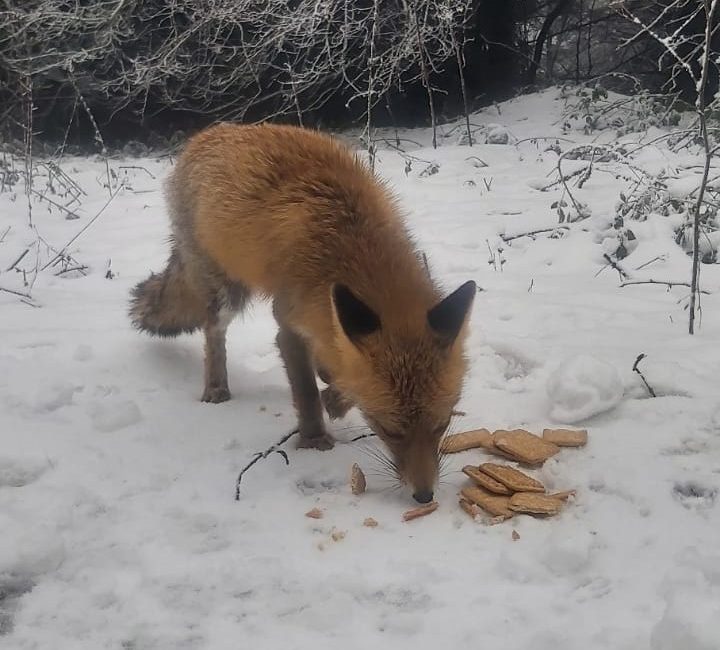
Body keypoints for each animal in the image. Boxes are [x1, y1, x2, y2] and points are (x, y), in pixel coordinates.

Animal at [128, 124, 478, 504]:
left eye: (442, 424)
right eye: (389, 430)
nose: (424, 496)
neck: (347, 244)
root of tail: (208, 132)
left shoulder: (332, 321)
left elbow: (340, 372)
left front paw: (335, 397)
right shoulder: (289, 323)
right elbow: (307, 391)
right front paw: (314, 439)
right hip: (226, 293)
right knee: (212, 333)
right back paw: (217, 388)